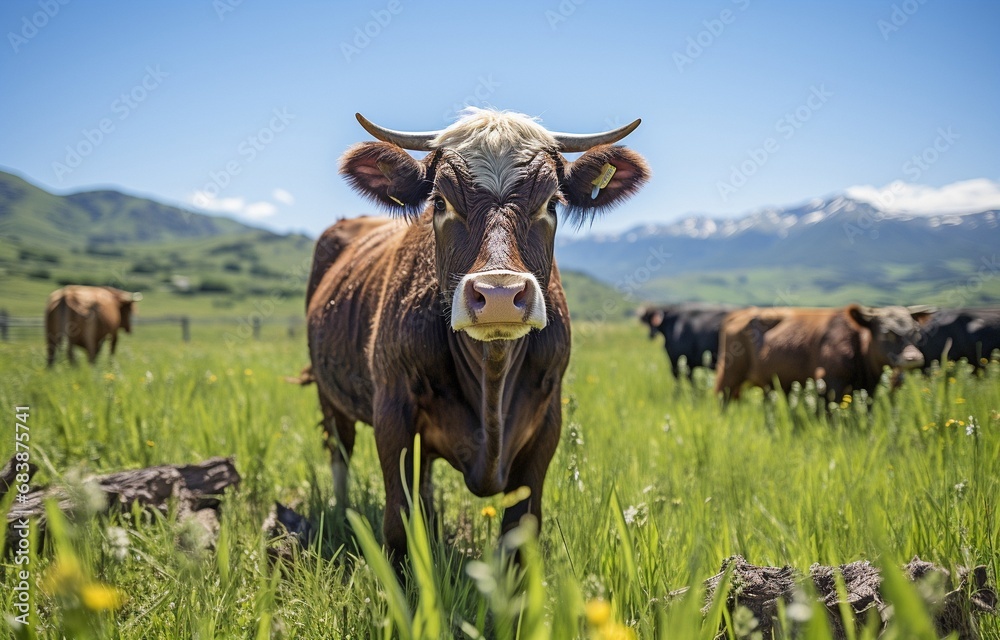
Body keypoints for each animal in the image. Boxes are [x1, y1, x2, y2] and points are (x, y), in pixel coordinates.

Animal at [306, 107, 648, 556]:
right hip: (329, 394)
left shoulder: (547, 421)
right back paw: (344, 513)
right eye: (440, 201)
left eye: (552, 202)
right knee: (340, 452)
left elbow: (520, 530)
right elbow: (397, 524)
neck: (492, 377)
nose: (499, 294)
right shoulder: (392, 410)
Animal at [716, 304, 932, 402]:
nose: (913, 358)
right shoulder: (831, 383)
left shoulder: (869, 387)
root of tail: (740, 313)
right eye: (887, 332)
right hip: (729, 375)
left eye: (915, 331)